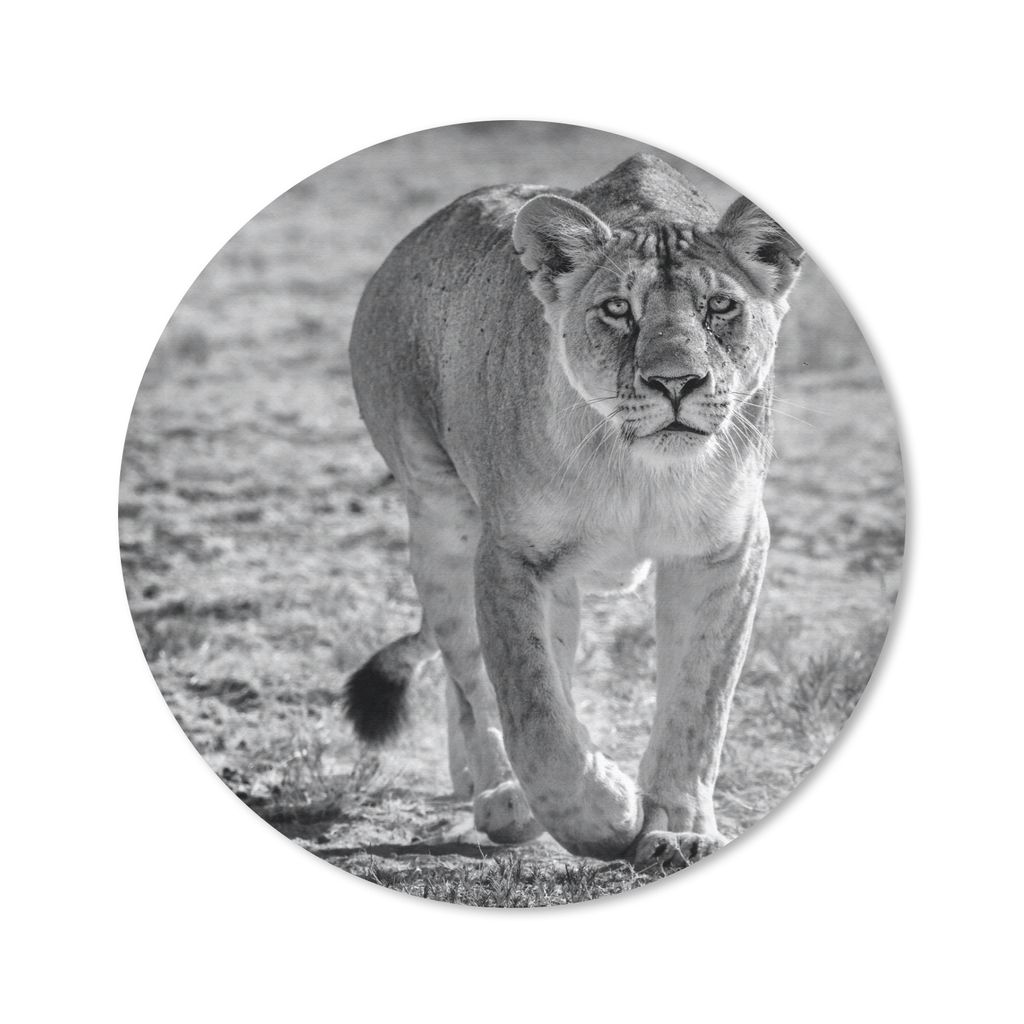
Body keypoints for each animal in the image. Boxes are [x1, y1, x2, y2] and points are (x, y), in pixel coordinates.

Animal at [343, 153, 802, 869]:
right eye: (617, 310)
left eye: (720, 306)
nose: (676, 382)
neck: (641, 471)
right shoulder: (513, 554)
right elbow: (535, 711)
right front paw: (609, 814)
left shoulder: (726, 550)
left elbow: (699, 701)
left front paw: (679, 828)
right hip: (441, 518)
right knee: (472, 676)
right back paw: (501, 796)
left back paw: (473, 783)